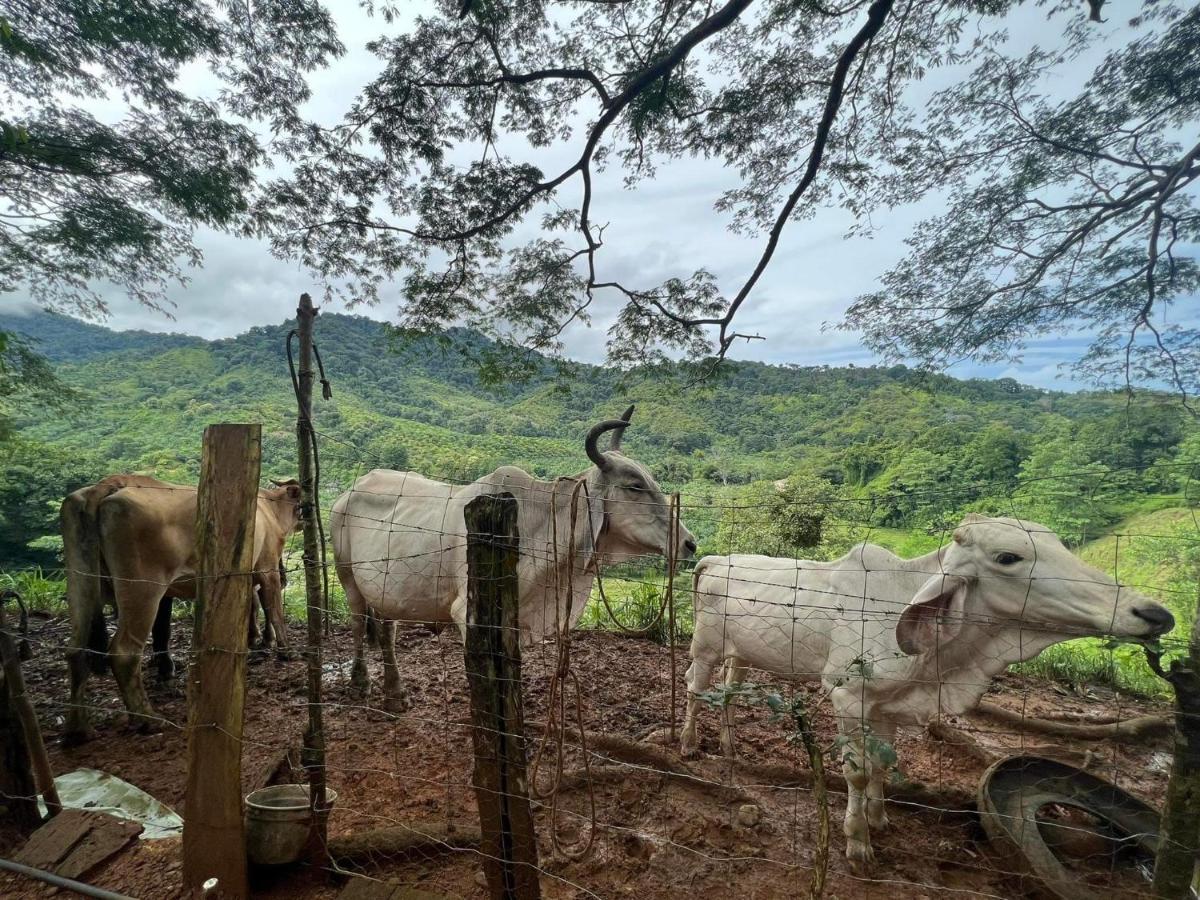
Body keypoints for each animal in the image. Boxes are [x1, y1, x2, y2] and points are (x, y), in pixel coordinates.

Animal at [62, 475, 302, 744]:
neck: (270, 508)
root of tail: (104, 487)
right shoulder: (267, 566)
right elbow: (274, 610)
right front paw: (286, 650)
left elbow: (252, 607)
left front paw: (254, 641)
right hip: (142, 587)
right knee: (124, 652)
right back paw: (147, 718)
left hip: (80, 579)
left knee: (76, 650)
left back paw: (78, 728)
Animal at [333, 408, 700, 710]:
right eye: (634, 485)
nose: (689, 544)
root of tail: (350, 490)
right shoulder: (467, 613)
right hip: (346, 575)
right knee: (357, 624)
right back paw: (361, 682)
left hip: (385, 589)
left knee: (386, 630)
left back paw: (395, 694)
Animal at [681, 518, 1176, 868]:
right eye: (1008, 557)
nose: (1153, 614)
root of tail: (715, 559)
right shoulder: (848, 696)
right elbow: (857, 772)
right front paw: (857, 842)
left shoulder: (887, 705)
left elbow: (883, 763)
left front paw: (879, 819)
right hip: (704, 647)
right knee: (695, 688)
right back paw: (687, 744)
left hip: (740, 654)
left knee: (727, 693)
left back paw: (728, 744)